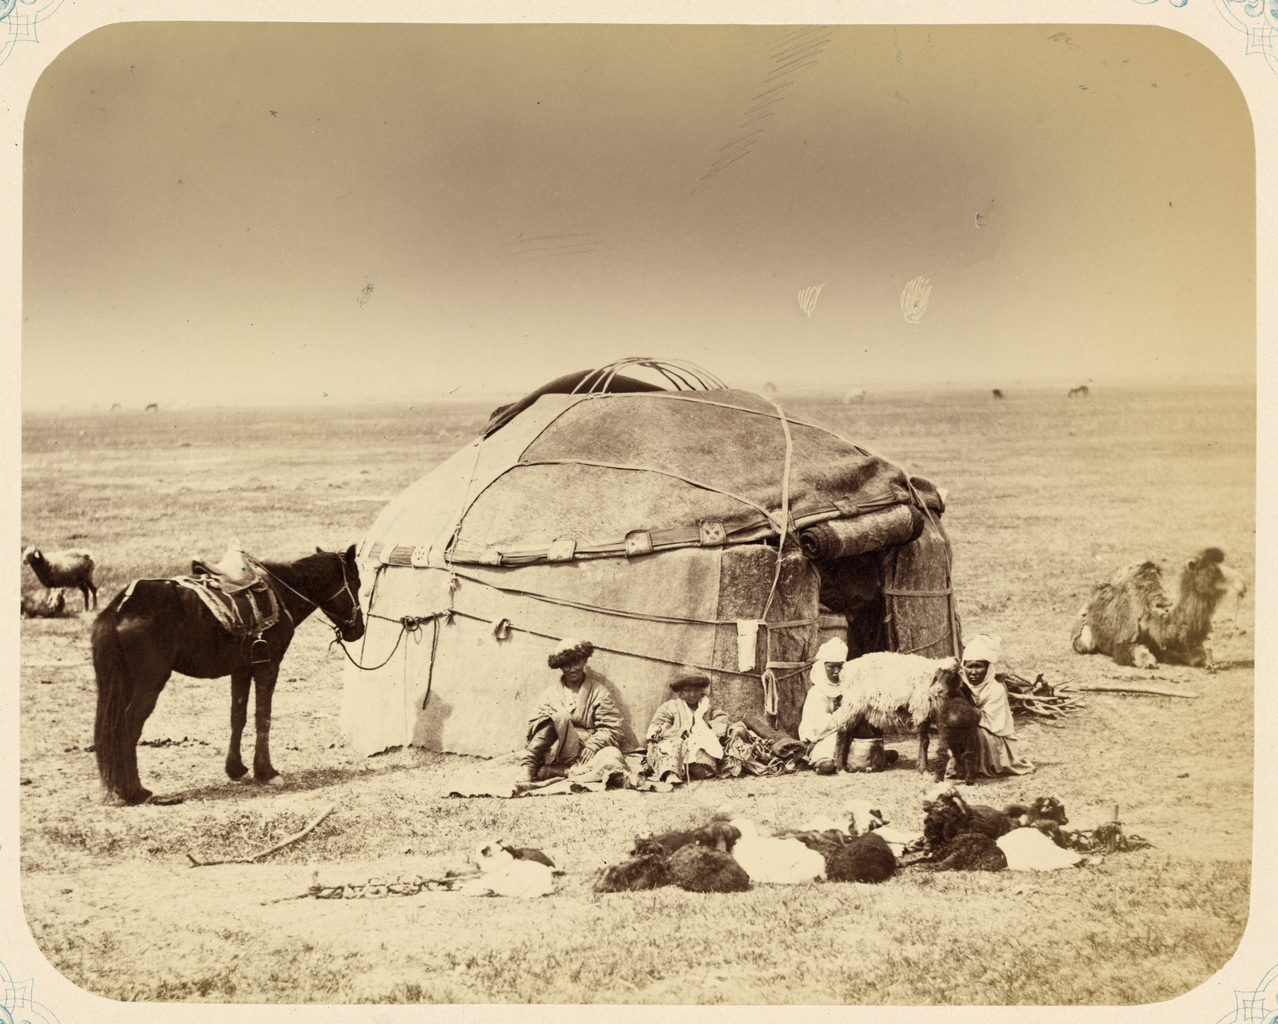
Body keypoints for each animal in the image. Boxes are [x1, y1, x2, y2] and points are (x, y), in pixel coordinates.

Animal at [92, 547, 362, 802]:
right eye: (356, 583)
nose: (358, 630)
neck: (282, 592)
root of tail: (121, 607)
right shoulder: (268, 665)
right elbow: (263, 717)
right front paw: (267, 772)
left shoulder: (241, 669)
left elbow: (238, 717)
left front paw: (236, 769)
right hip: (149, 683)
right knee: (127, 728)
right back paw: (134, 791)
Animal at [828, 654, 961, 777]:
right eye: (939, 674)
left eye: (952, 674)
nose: (938, 691)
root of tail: (845, 670)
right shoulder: (921, 711)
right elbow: (925, 742)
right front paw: (924, 769)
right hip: (853, 703)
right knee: (842, 732)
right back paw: (840, 768)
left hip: (857, 708)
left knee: (847, 731)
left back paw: (845, 765)